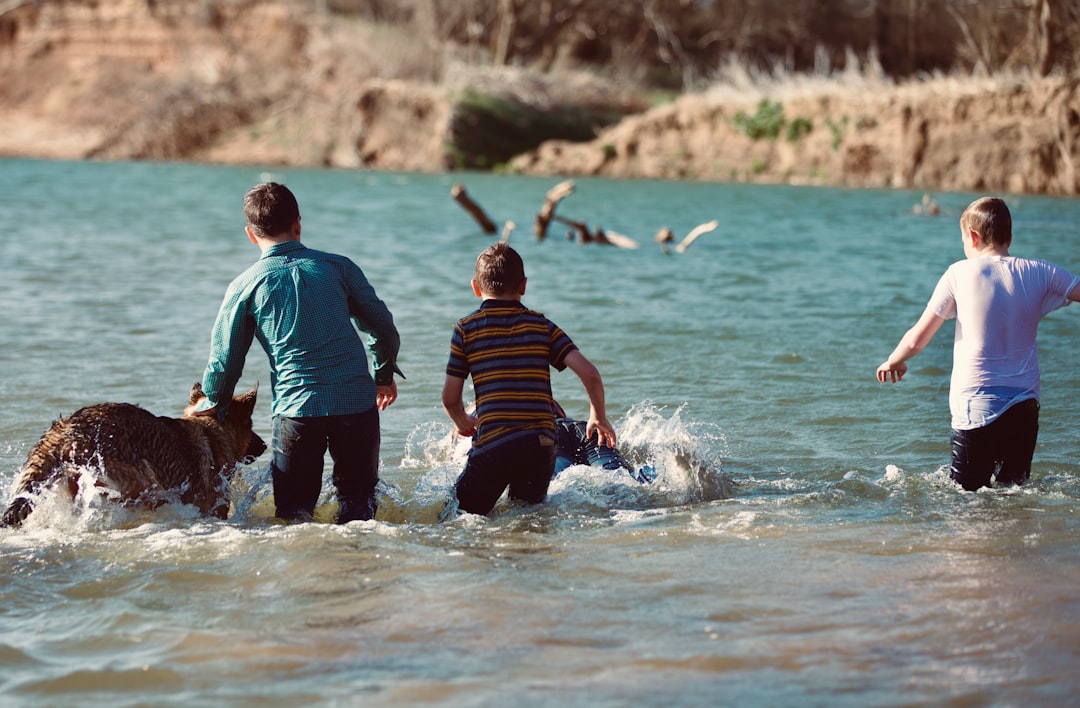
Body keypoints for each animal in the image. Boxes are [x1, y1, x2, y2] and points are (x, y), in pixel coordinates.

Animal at [1, 382, 265, 524]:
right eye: (251, 426)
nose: (264, 445)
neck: (211, 429)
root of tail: (65, 429)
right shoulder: (213, 507)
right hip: (144, 483)